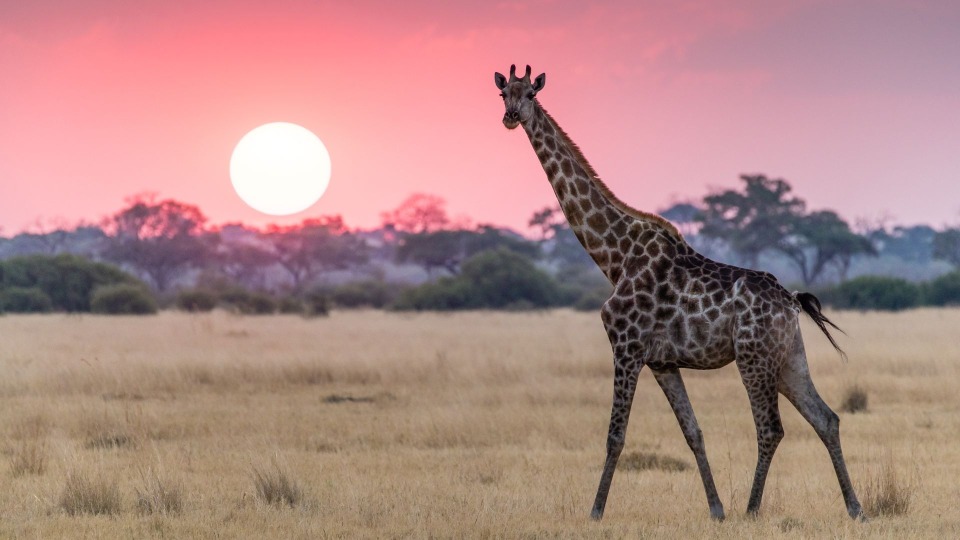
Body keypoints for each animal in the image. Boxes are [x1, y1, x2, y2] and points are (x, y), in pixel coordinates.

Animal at [494, 65, 863, 521]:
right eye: (503, 93)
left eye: (530, 93)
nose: (511, 117)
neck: (614, 256)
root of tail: (792, 301)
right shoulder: (663, 363)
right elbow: (694, 432)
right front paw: (716, 509)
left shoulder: (627, 348)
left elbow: (615, 435)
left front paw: (595, 511)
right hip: (789, 356)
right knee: (826, 418)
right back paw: (855, 508)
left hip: (754, 357)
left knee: (771, 429)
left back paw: (752, 509)